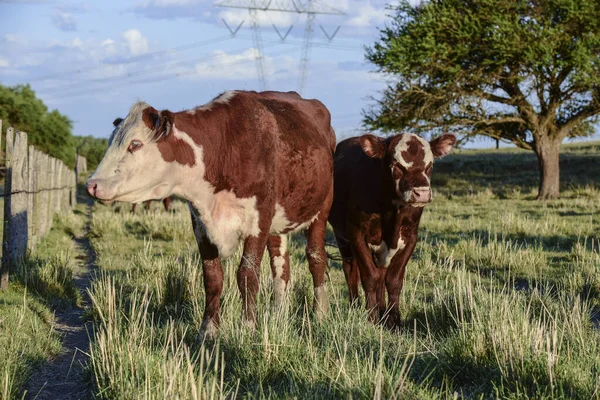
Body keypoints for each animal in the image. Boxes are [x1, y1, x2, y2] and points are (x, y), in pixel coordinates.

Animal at [86, 90, 336, 338]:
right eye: (110, 141)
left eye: (135, 144)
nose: (92, 185)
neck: (223, 148)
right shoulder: (200, 225)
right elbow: (212, 277)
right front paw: (208, 330)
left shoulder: (258, 221)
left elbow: (247, 274)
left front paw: (248, 328)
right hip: (279, 223)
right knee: (281, 264)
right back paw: (278, 314)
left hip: (322, 210)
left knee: (316, 258)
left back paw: (320, 313)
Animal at [328, 134, 454, 328]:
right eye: (397, 165)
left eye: (430, 165)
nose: (422, 193)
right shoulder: (356, 233)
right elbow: (370, 277)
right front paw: (371, 317)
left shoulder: (410, 237)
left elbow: (393, 280)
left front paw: (393, 320)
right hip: (342, 238)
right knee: (351, 270)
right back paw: (355, 307)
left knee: (381, 274)